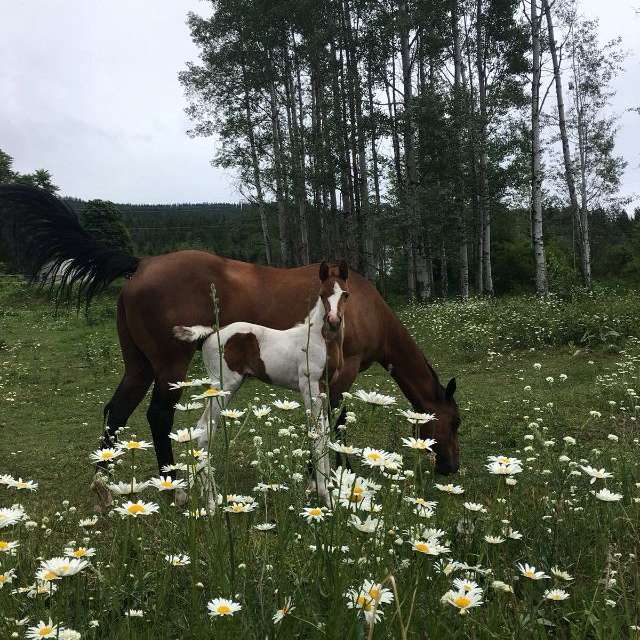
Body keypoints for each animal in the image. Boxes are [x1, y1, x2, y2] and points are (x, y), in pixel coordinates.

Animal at [172, 260, 348, 504]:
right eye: (322, 295)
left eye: (345, 294)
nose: (333, 322)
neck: (319, 341)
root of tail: (212, 333)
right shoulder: (309, 387)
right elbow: (317, 434)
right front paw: (325, 495)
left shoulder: (327, 389)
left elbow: (325, 431)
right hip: (224, 387)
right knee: (204, 429)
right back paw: (212, 502)